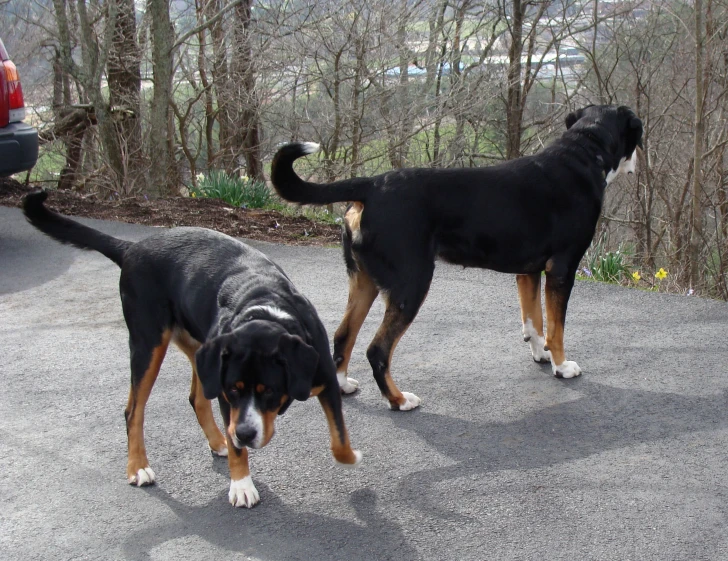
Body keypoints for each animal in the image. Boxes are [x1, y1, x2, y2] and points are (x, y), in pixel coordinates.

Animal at [22, 191, 362, 508]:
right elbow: (238, 447)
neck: (266, 307)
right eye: (235, 389)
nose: (244, 434)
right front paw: (241, 484)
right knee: (134, 411)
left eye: (268, 390)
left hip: (202, 350)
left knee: (196, 399)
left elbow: (339, 438)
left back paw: (218, 441)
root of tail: (132, 248)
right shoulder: (228, 398)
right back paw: (140, 466)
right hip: (149, 344)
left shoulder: (324, 377)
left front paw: (351, 457)